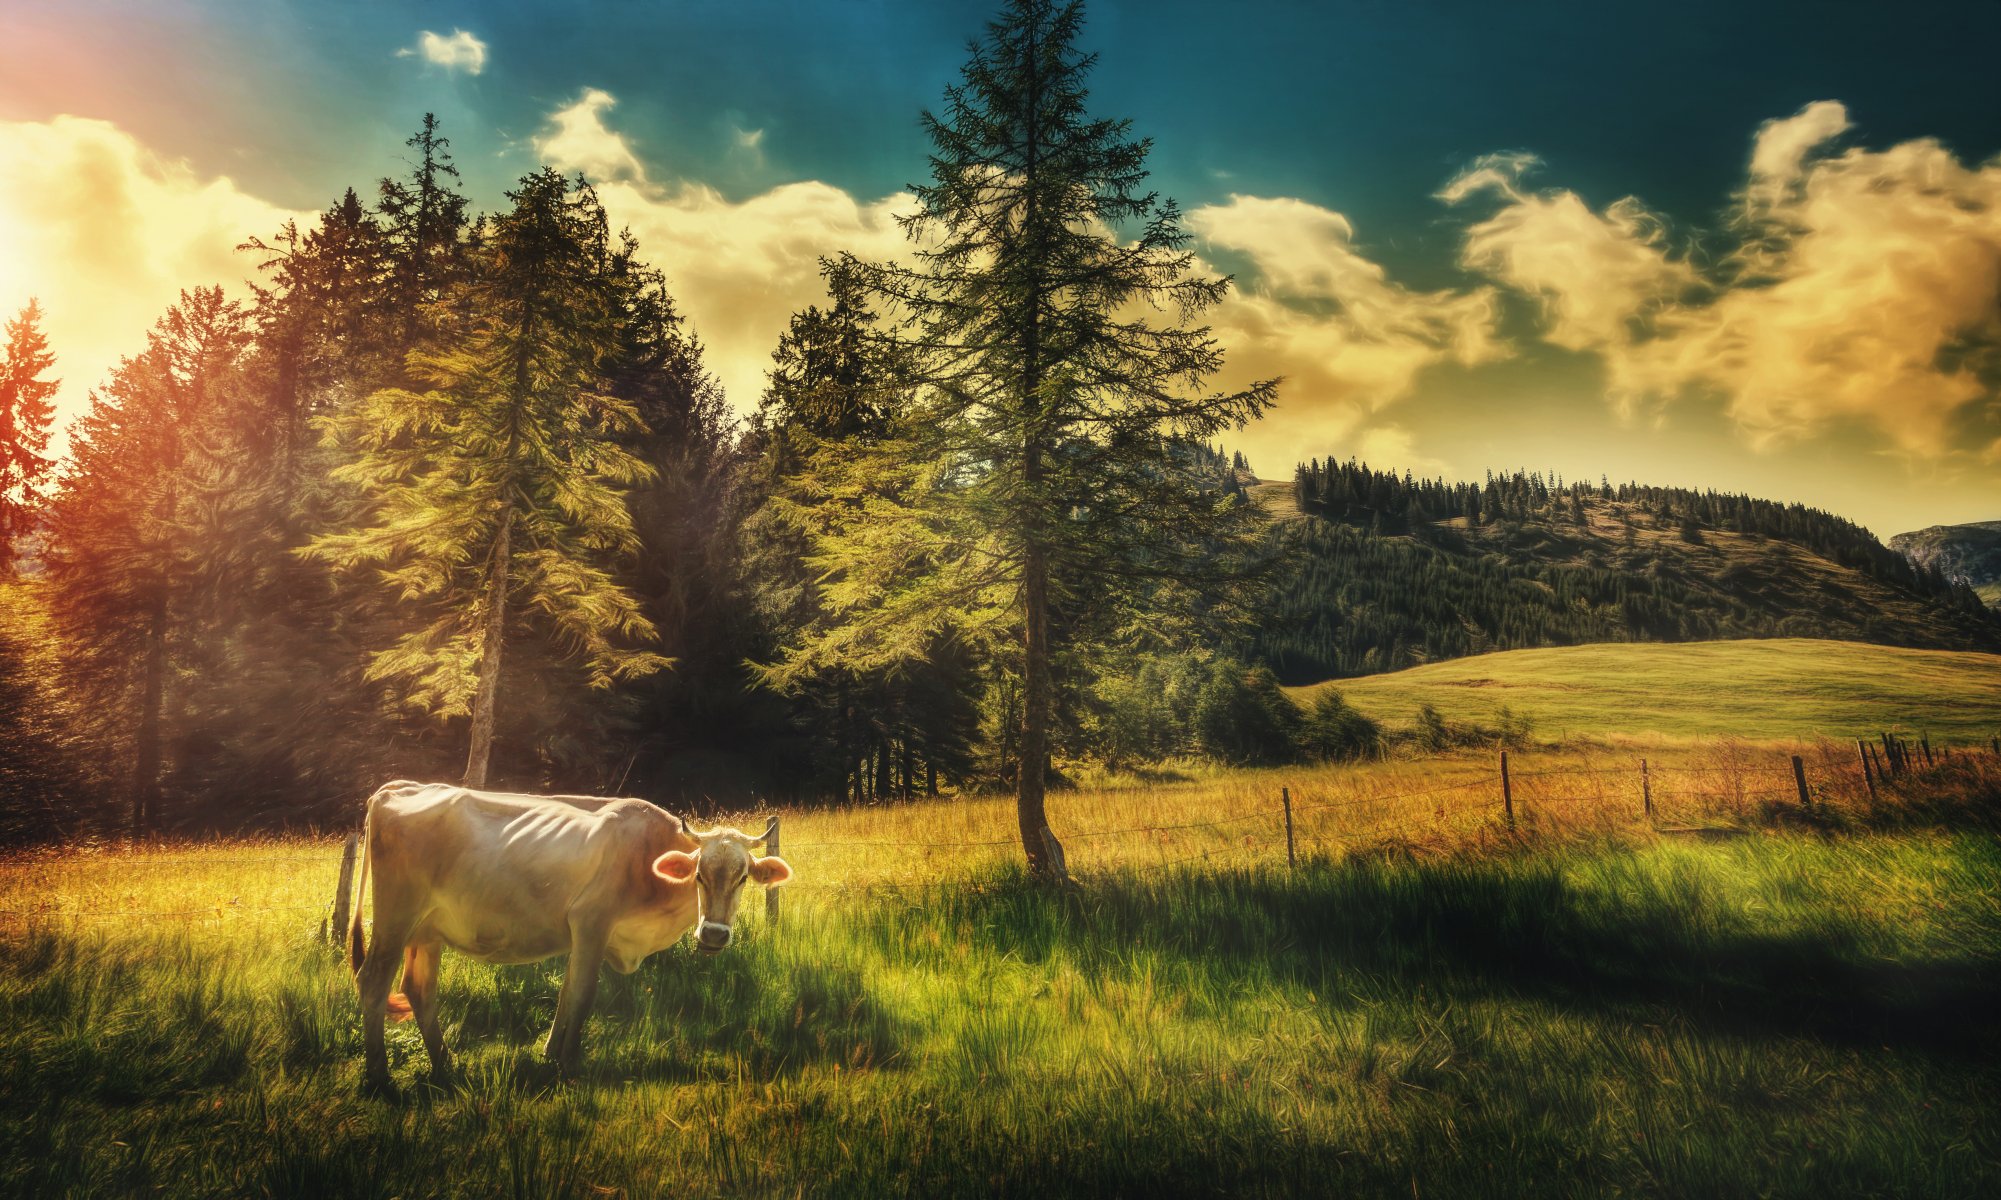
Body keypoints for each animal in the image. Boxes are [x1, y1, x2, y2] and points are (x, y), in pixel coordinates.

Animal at [347, 780, 793, 1092]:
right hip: (395, 917)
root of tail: (401, 787)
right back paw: (379, 1076)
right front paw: (569, 1065)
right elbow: (581, 995)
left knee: (419, 988)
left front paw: (549, 1054)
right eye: (699, 874)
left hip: (427, 931)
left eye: (743, 877)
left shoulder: (581, 936)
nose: (714, 934)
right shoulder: (591, 922)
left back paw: (444, 1063)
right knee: (373, 982)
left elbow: (565, 993)